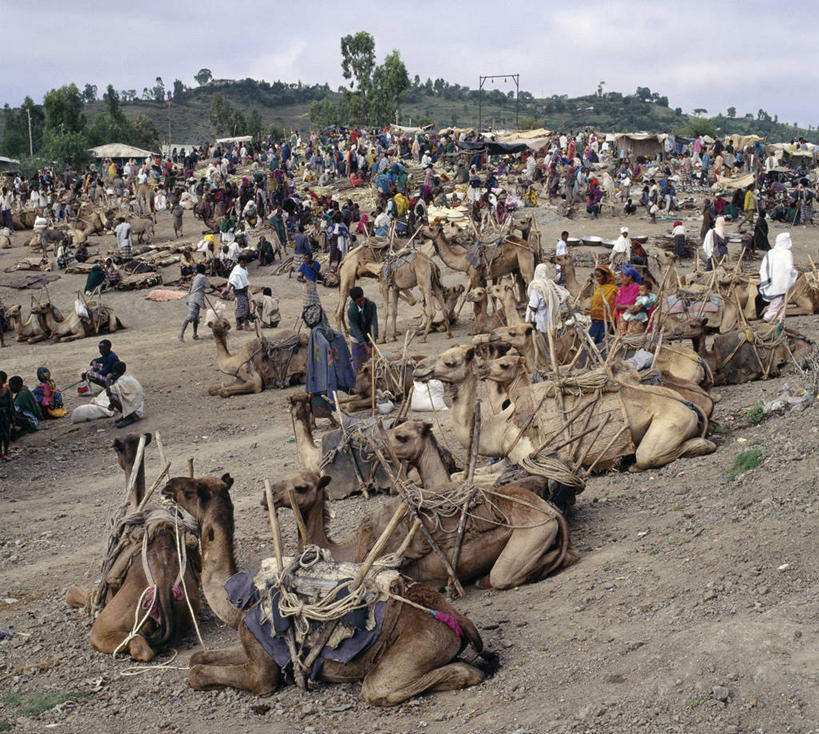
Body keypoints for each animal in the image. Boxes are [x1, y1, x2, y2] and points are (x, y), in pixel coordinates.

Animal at [65, 434, 203, 664]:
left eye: (117, 450)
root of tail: (162, 587)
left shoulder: (97, 597)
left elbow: (74, 593)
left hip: (108, 625)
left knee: (139, 645)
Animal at [163, 472, 490, 708]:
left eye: (190, 490)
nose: (168, 486)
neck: (241, 597)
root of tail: (459, 620)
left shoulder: (261, 671)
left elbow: (198, 674)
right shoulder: (248, 643)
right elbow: (196, 658)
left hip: (418, 647)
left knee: (382, 687)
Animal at [414, 344, 716, 472]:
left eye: (450, 361)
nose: (419, 367)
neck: (498, 427)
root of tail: (691, 405)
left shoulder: (525, 454)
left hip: (671, 422)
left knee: (646, 456)